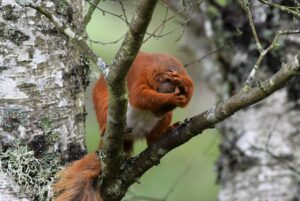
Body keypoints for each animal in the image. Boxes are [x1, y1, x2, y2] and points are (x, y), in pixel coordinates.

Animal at [53, 52, 195, 201]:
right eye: (168, 80)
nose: (160, 111)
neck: (157, 65)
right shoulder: (139, 73)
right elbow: (139, 96)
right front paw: (170, 98)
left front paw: (187, 85)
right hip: (106, 106)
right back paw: (105, 128)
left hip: (161, 122)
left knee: (153, 139)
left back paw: (165, 133)